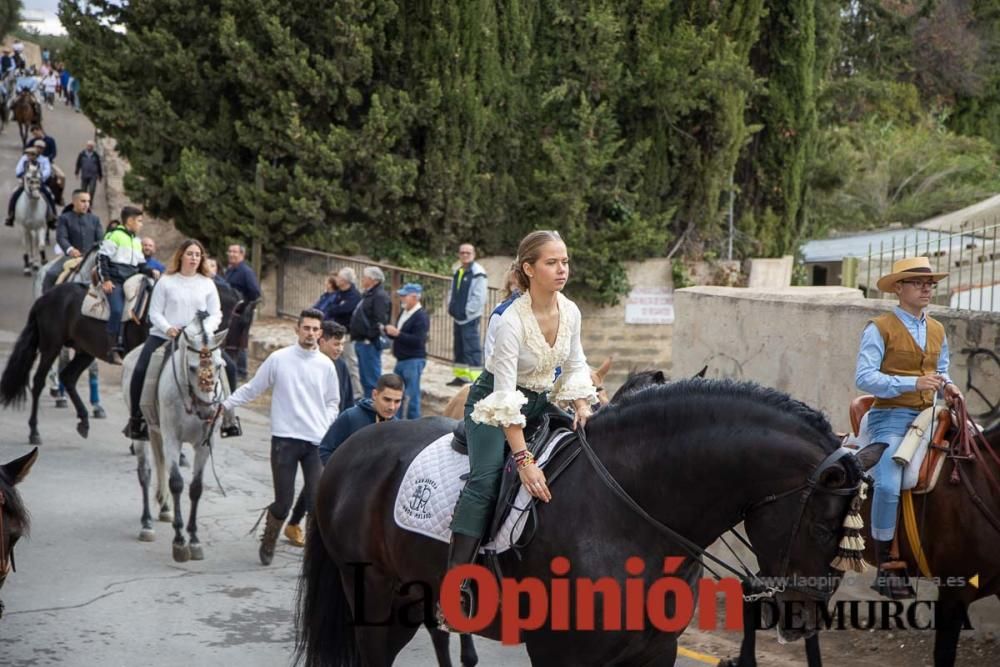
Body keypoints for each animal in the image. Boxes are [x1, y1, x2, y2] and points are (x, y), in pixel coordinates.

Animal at [0, 280, 242, 446]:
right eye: (237, 318)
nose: (231, 354)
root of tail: (46, 297)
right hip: (51, 346)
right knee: (39, 381)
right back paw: (34, 431)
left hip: (84, 351)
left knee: (68, 377)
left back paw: (84, 421)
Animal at [121, 318, 229, 564]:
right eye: (192, 368)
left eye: (219, 366)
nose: (208, 411)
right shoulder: (173, 439)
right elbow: (177, 483)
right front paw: (180, 542)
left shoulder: (204, 445)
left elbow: (196, 488)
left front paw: (195, 541)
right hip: (142, 435)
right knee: (145, 473)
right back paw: (147, 525)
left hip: (157, 432)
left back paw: (164, 509)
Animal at [294, 380, 868, 667]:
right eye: (821, 528)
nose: (803, 622)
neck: (628, 514)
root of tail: (350, 448)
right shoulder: (563, 653)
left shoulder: (652, 652)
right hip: (376, 599)